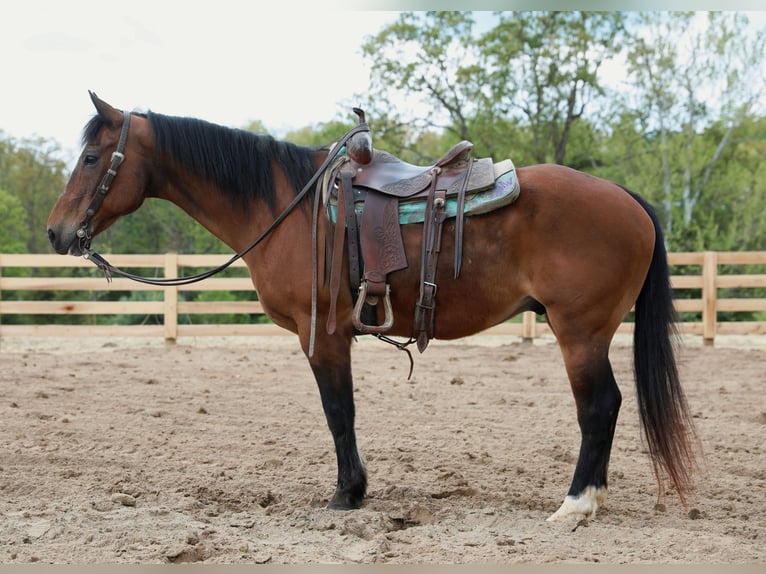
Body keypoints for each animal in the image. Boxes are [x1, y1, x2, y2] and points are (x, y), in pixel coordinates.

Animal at [46, 92, 699, 522]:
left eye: (90, 158)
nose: (57, 233)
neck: (286, 206)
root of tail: (629, 200)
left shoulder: (322, 334)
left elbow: (339, 413)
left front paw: (346, 494)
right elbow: (345, 414)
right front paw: (355, 490)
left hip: (579, 332)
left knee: (600, 407)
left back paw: (576, 504)